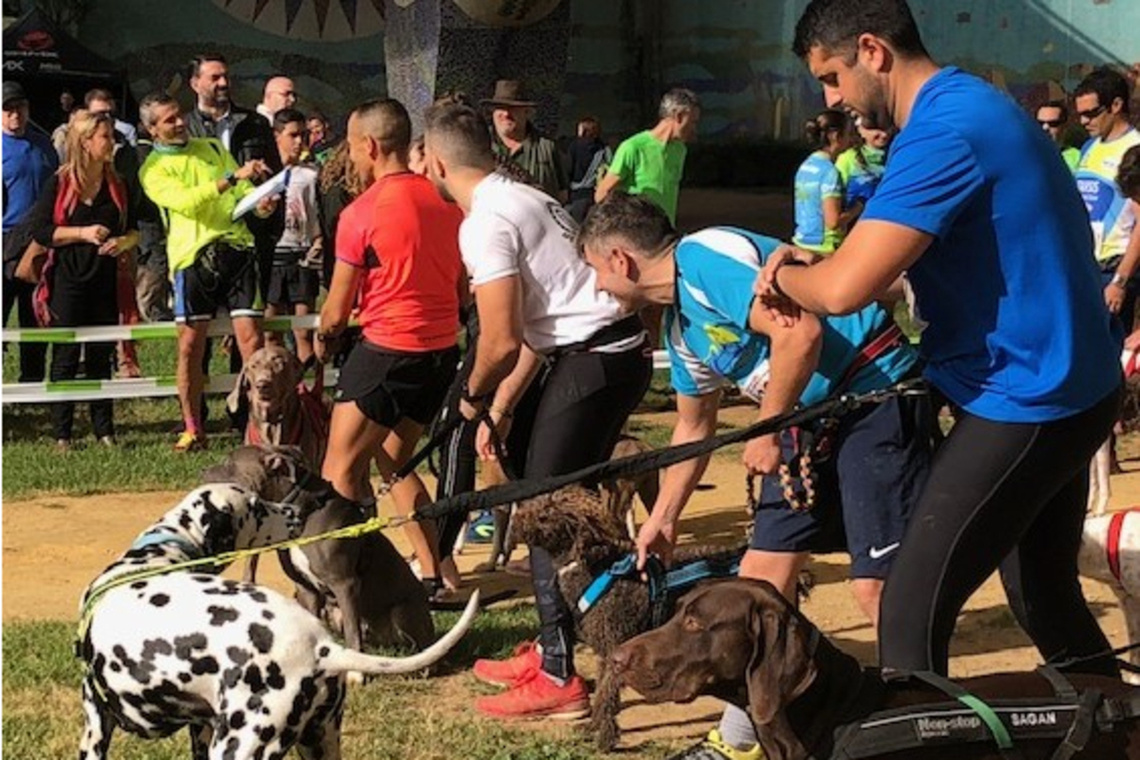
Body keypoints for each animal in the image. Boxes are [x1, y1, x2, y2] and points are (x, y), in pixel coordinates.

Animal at [74, 485, 476, 756]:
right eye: (256, 507)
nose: (294, 512)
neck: (158, 553)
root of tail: (321, 648)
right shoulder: (200, 729)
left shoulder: (95, 723)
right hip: (320, 743)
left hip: (240, 745)